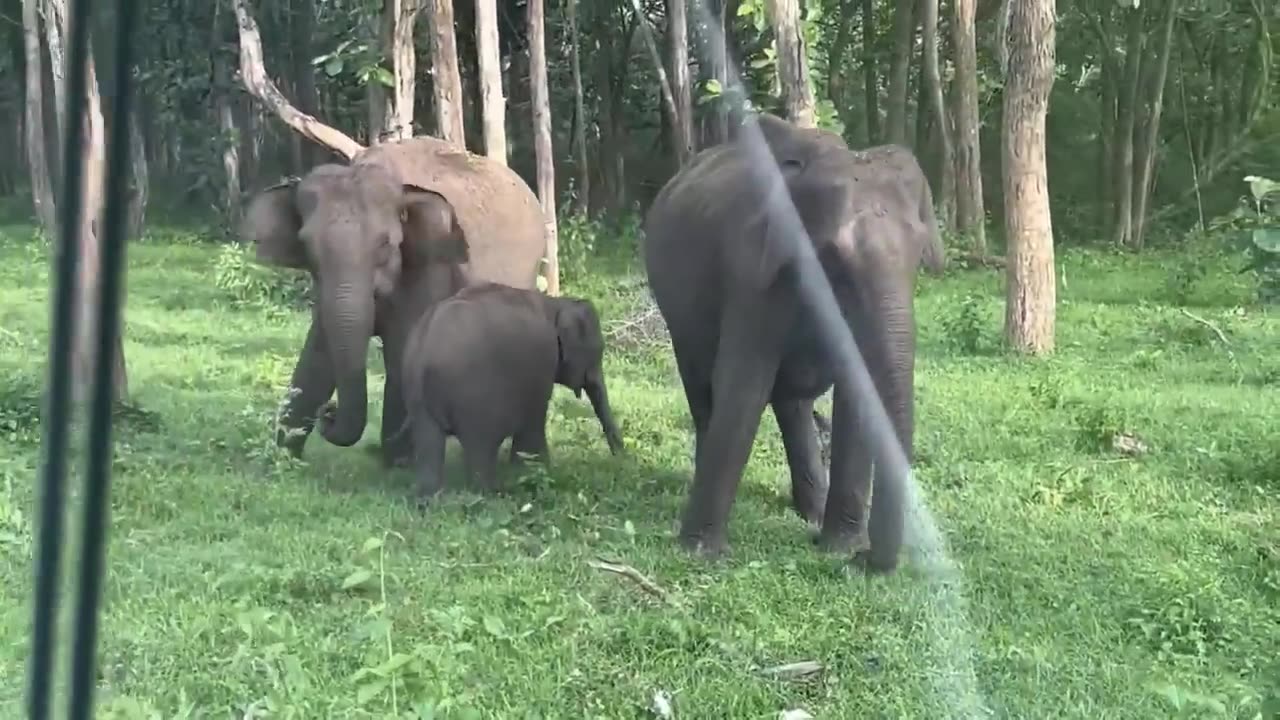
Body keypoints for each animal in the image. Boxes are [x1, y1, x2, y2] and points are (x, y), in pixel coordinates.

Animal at [243, 134, 545, 466]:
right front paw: (283, 459)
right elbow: (318, 354)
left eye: (386, 244)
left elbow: (402, 348)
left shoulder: (428, 266)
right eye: (306, 245)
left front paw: (399, 464)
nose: (329, 413)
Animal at [396, 278, 622, 502]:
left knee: (429, 440)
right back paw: (490, 494)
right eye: (599, 351)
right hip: (473, 396)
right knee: (480, 446)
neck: (556, 303)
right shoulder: (540, 367)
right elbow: (534, 420)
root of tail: (424, 354)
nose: (620, 458)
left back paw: (428, 500)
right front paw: (539, 472)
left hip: (418, 397)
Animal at [645, 110, 947, 571]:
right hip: (676, 309)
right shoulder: (752, 274)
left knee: (792, 404)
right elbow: (744, 384)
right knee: (702, 387)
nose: (864, 560)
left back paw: (812, 514)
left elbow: (854, 395)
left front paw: (838, 545)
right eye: (833, 259)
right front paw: (700, 552)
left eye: (919, 258)